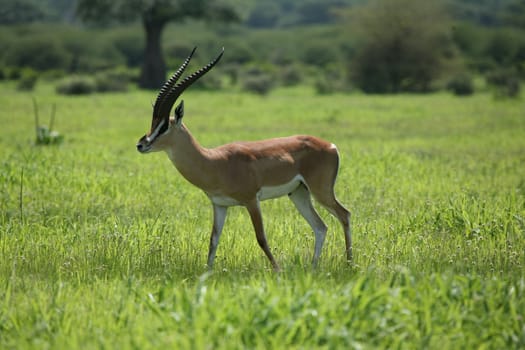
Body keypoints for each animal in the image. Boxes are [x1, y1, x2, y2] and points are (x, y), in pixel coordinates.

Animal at [137, 47, 352, 270]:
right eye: (153, 123)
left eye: (164, 126)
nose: (141, 144)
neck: (215, 163)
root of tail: (330, 145)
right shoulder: (220, 205)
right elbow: (213, 241)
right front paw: (208, 272)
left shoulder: (251, 200)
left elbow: (261, 238)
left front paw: (278, 270)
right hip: (299, 194)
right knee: (321, 227)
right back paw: (313, 267)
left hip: (320, 191)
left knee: (344, 214)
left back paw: (349, 264)